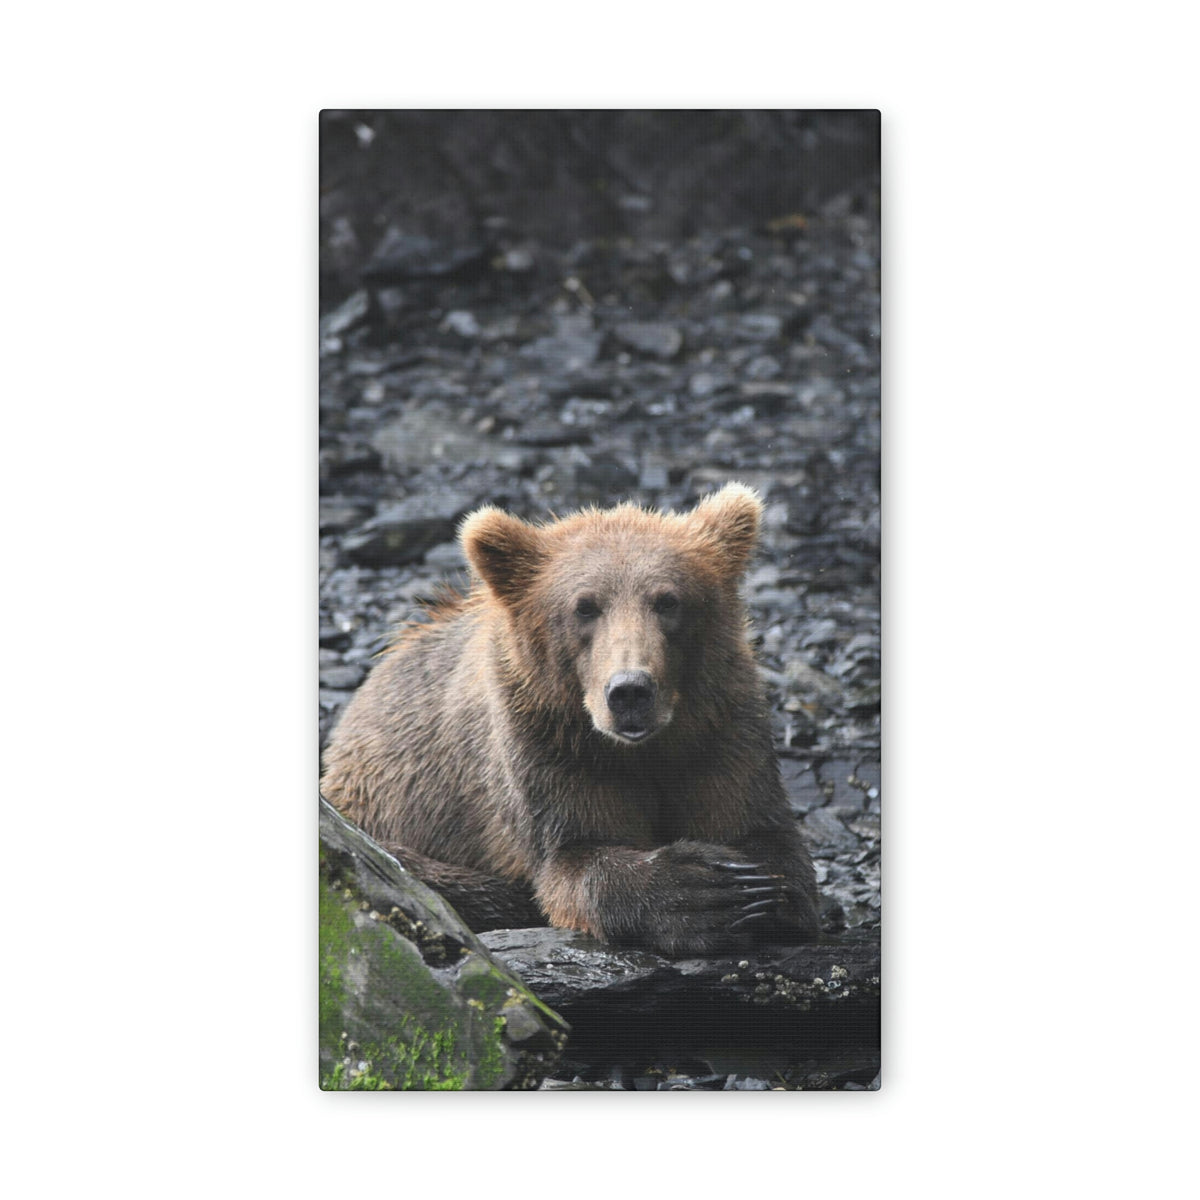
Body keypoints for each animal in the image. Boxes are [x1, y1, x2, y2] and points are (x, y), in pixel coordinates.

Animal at [320, 483, 820, 955]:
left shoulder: (720, 729)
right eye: (585, 606)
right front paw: (702, 892)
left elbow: (761, 831)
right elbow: (573, 857)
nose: (630, 691)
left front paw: (755, 889)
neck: (642, 749)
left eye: (668, 601)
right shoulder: (548, 747)